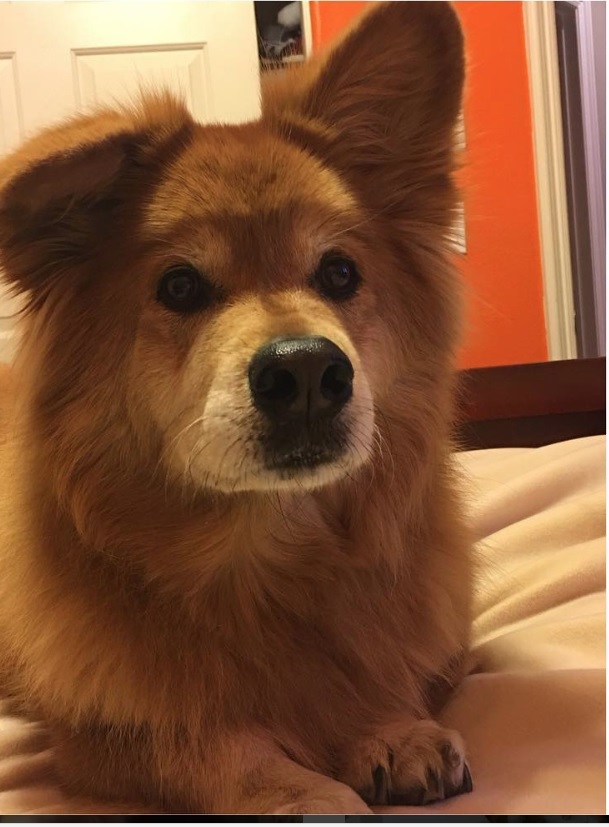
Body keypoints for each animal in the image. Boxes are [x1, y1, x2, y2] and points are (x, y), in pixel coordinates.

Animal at [0, 1, 472, 816]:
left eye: (339, 273)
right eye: (180, 286)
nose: (308, 370)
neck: (267, 560)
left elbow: (382, 666)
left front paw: (384, 725)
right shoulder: (97, 732)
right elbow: (204, 739)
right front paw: (297, 790)